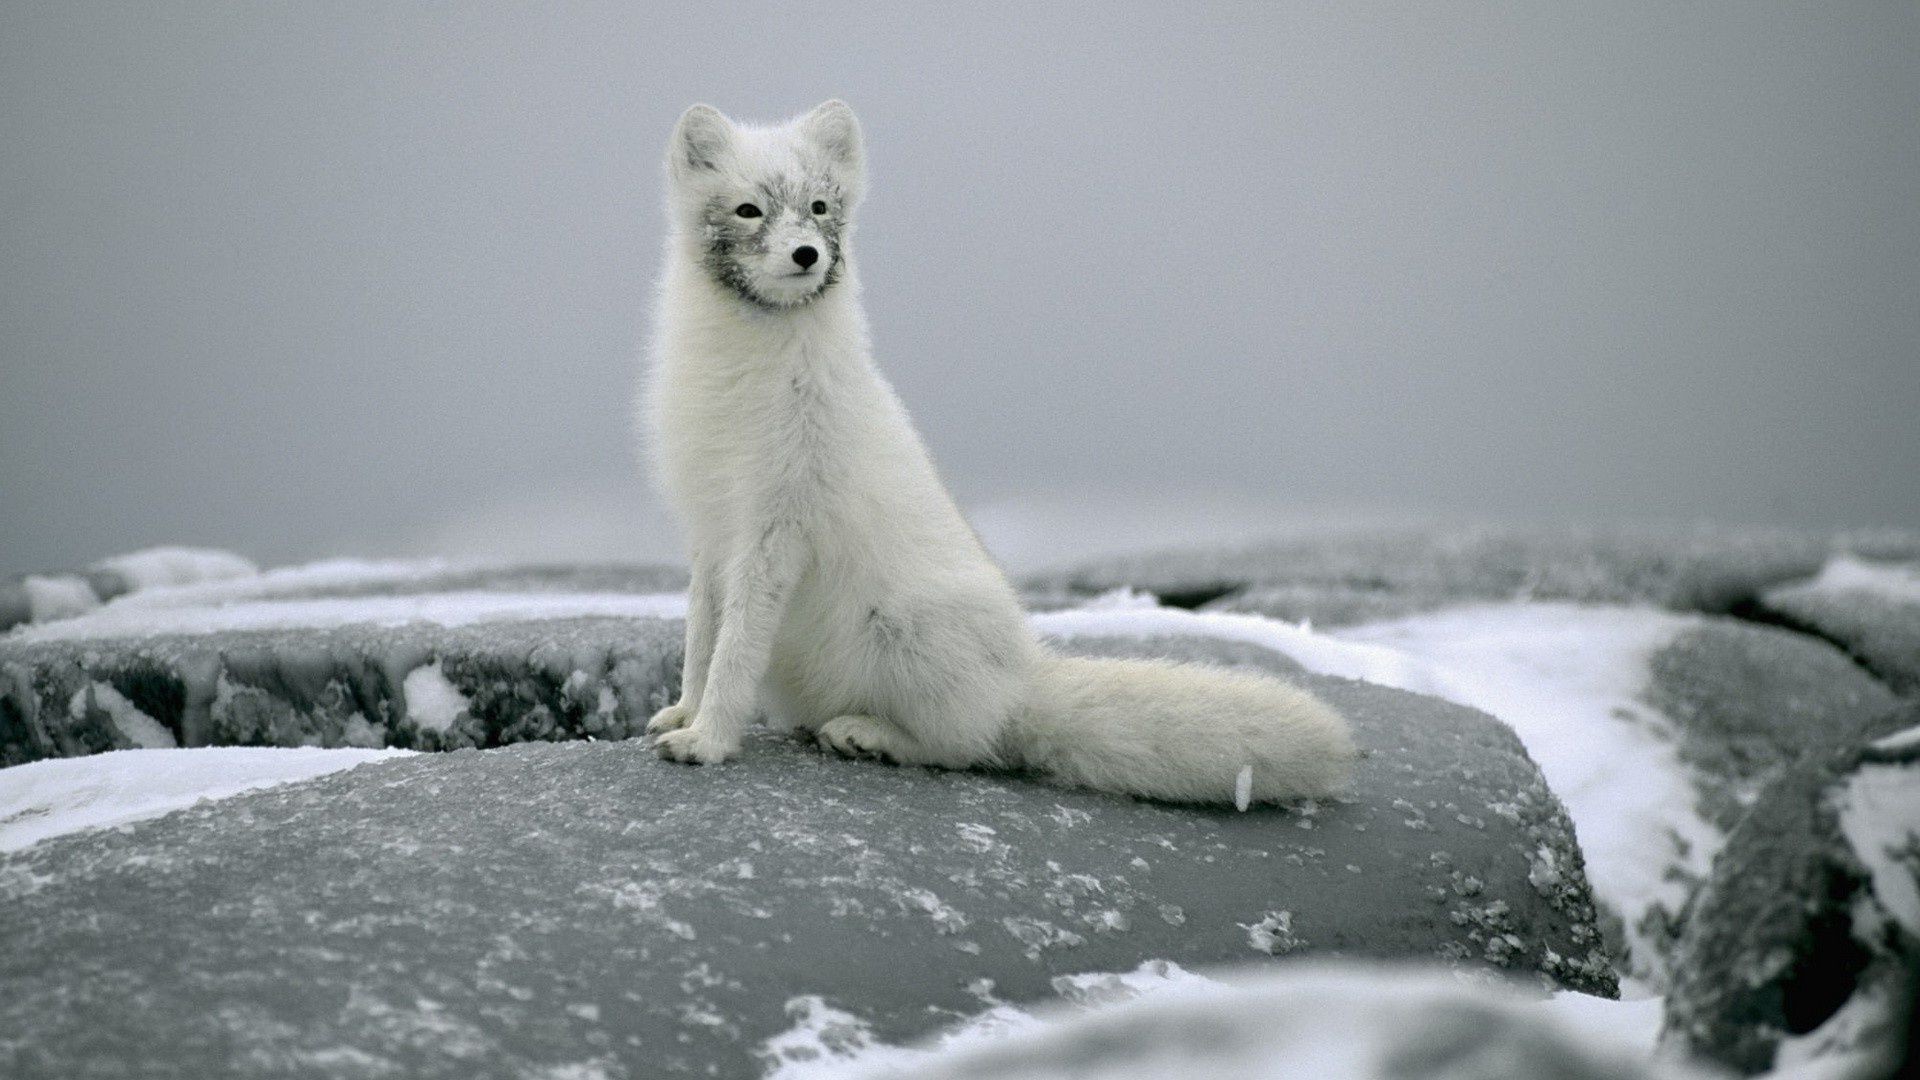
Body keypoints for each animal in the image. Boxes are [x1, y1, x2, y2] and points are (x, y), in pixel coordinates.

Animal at [637, 102, 1359, 799]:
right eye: (749, 210)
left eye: (818, 206)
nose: (808, 253)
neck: (741, 374)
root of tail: (1023, 682)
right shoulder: (710, 529)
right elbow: (701, 637)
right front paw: (684, 712)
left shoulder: (775, 529)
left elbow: (735, 651)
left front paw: (708, 740)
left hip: (908, 632)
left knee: (966, 746)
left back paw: (869, 734)